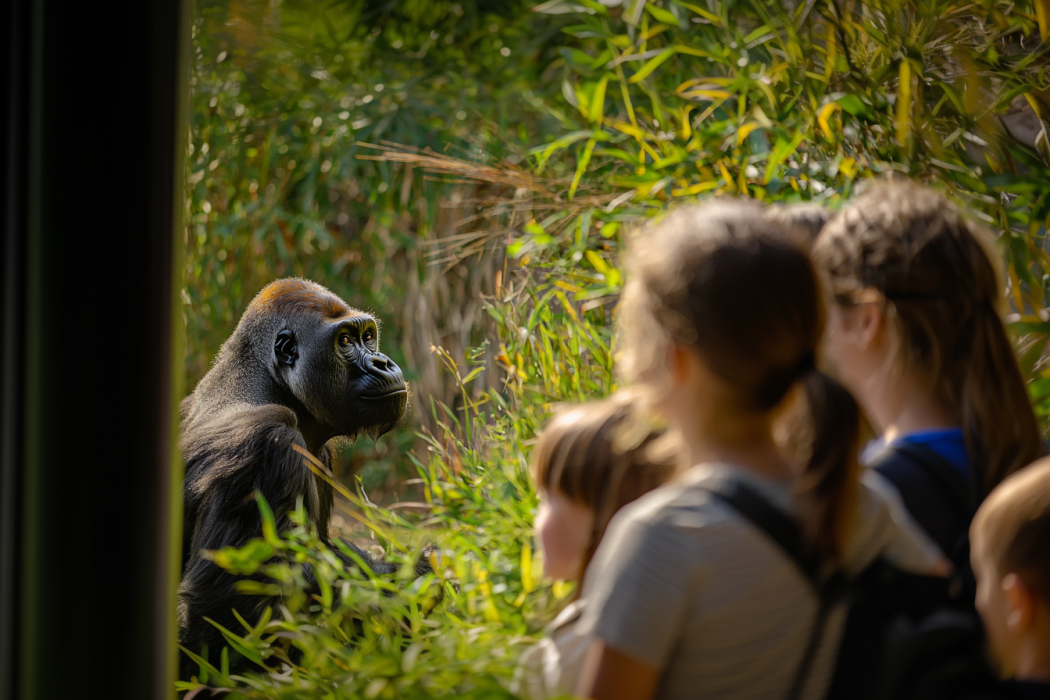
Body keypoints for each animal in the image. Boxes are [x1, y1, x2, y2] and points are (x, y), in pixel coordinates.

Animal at [177, 278, 431, 680]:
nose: (383, 362)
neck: (267, 382)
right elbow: (227, 607)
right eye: (345, 341)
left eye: (368, 336)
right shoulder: (265, 444)